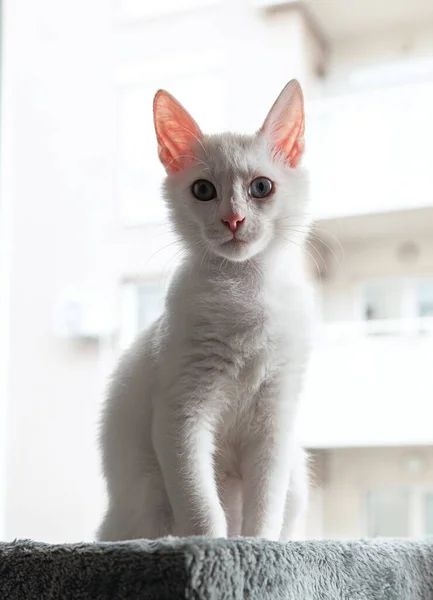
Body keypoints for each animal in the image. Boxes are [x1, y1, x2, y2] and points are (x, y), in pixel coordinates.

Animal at [97, 81, 312, 544]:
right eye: (203, 190)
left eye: (261, 187)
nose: (233, 219)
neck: (244, 293)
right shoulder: (180, 413)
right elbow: (200, 505)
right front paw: (211, 547)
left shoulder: (275, 419)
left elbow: (265, 505)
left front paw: (255, 548)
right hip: (149, 490)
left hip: (298, 475)